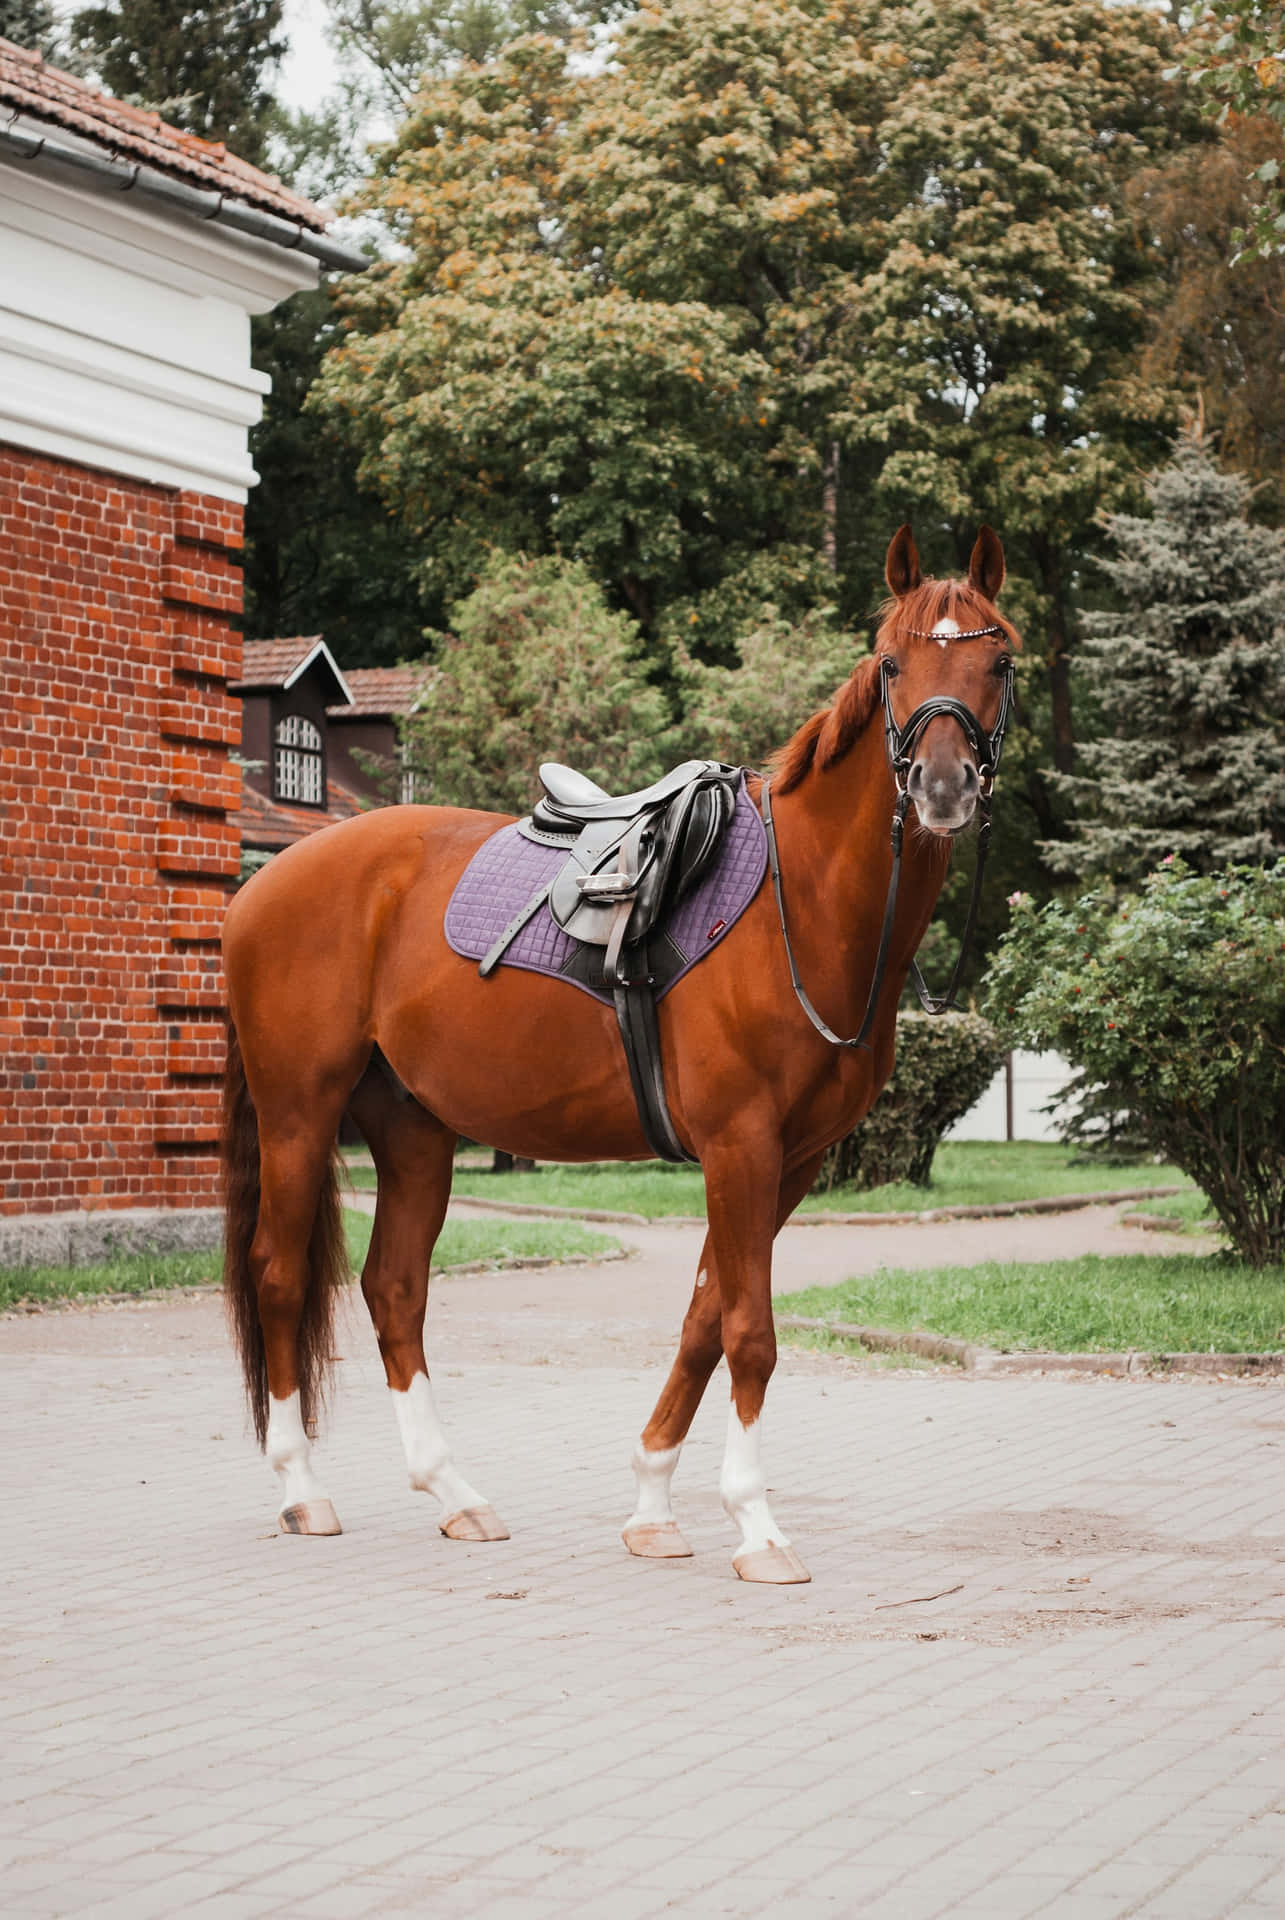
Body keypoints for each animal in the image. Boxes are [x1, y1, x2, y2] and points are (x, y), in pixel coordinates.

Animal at [222, 529, 1021, 1589]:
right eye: (892, 663)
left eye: (998, 662)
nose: (939, 786)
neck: (800, 905)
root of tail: (263, 885)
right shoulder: (739, 1145)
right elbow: (749, 1333)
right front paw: (756, 1527)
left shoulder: (791, 1160)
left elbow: (703, 1319)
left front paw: (651, 1508)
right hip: (298, 1115)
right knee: (278, 1276)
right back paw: (303, 1490)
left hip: (414, 1131)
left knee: (394, 1290)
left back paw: (453, 1493)